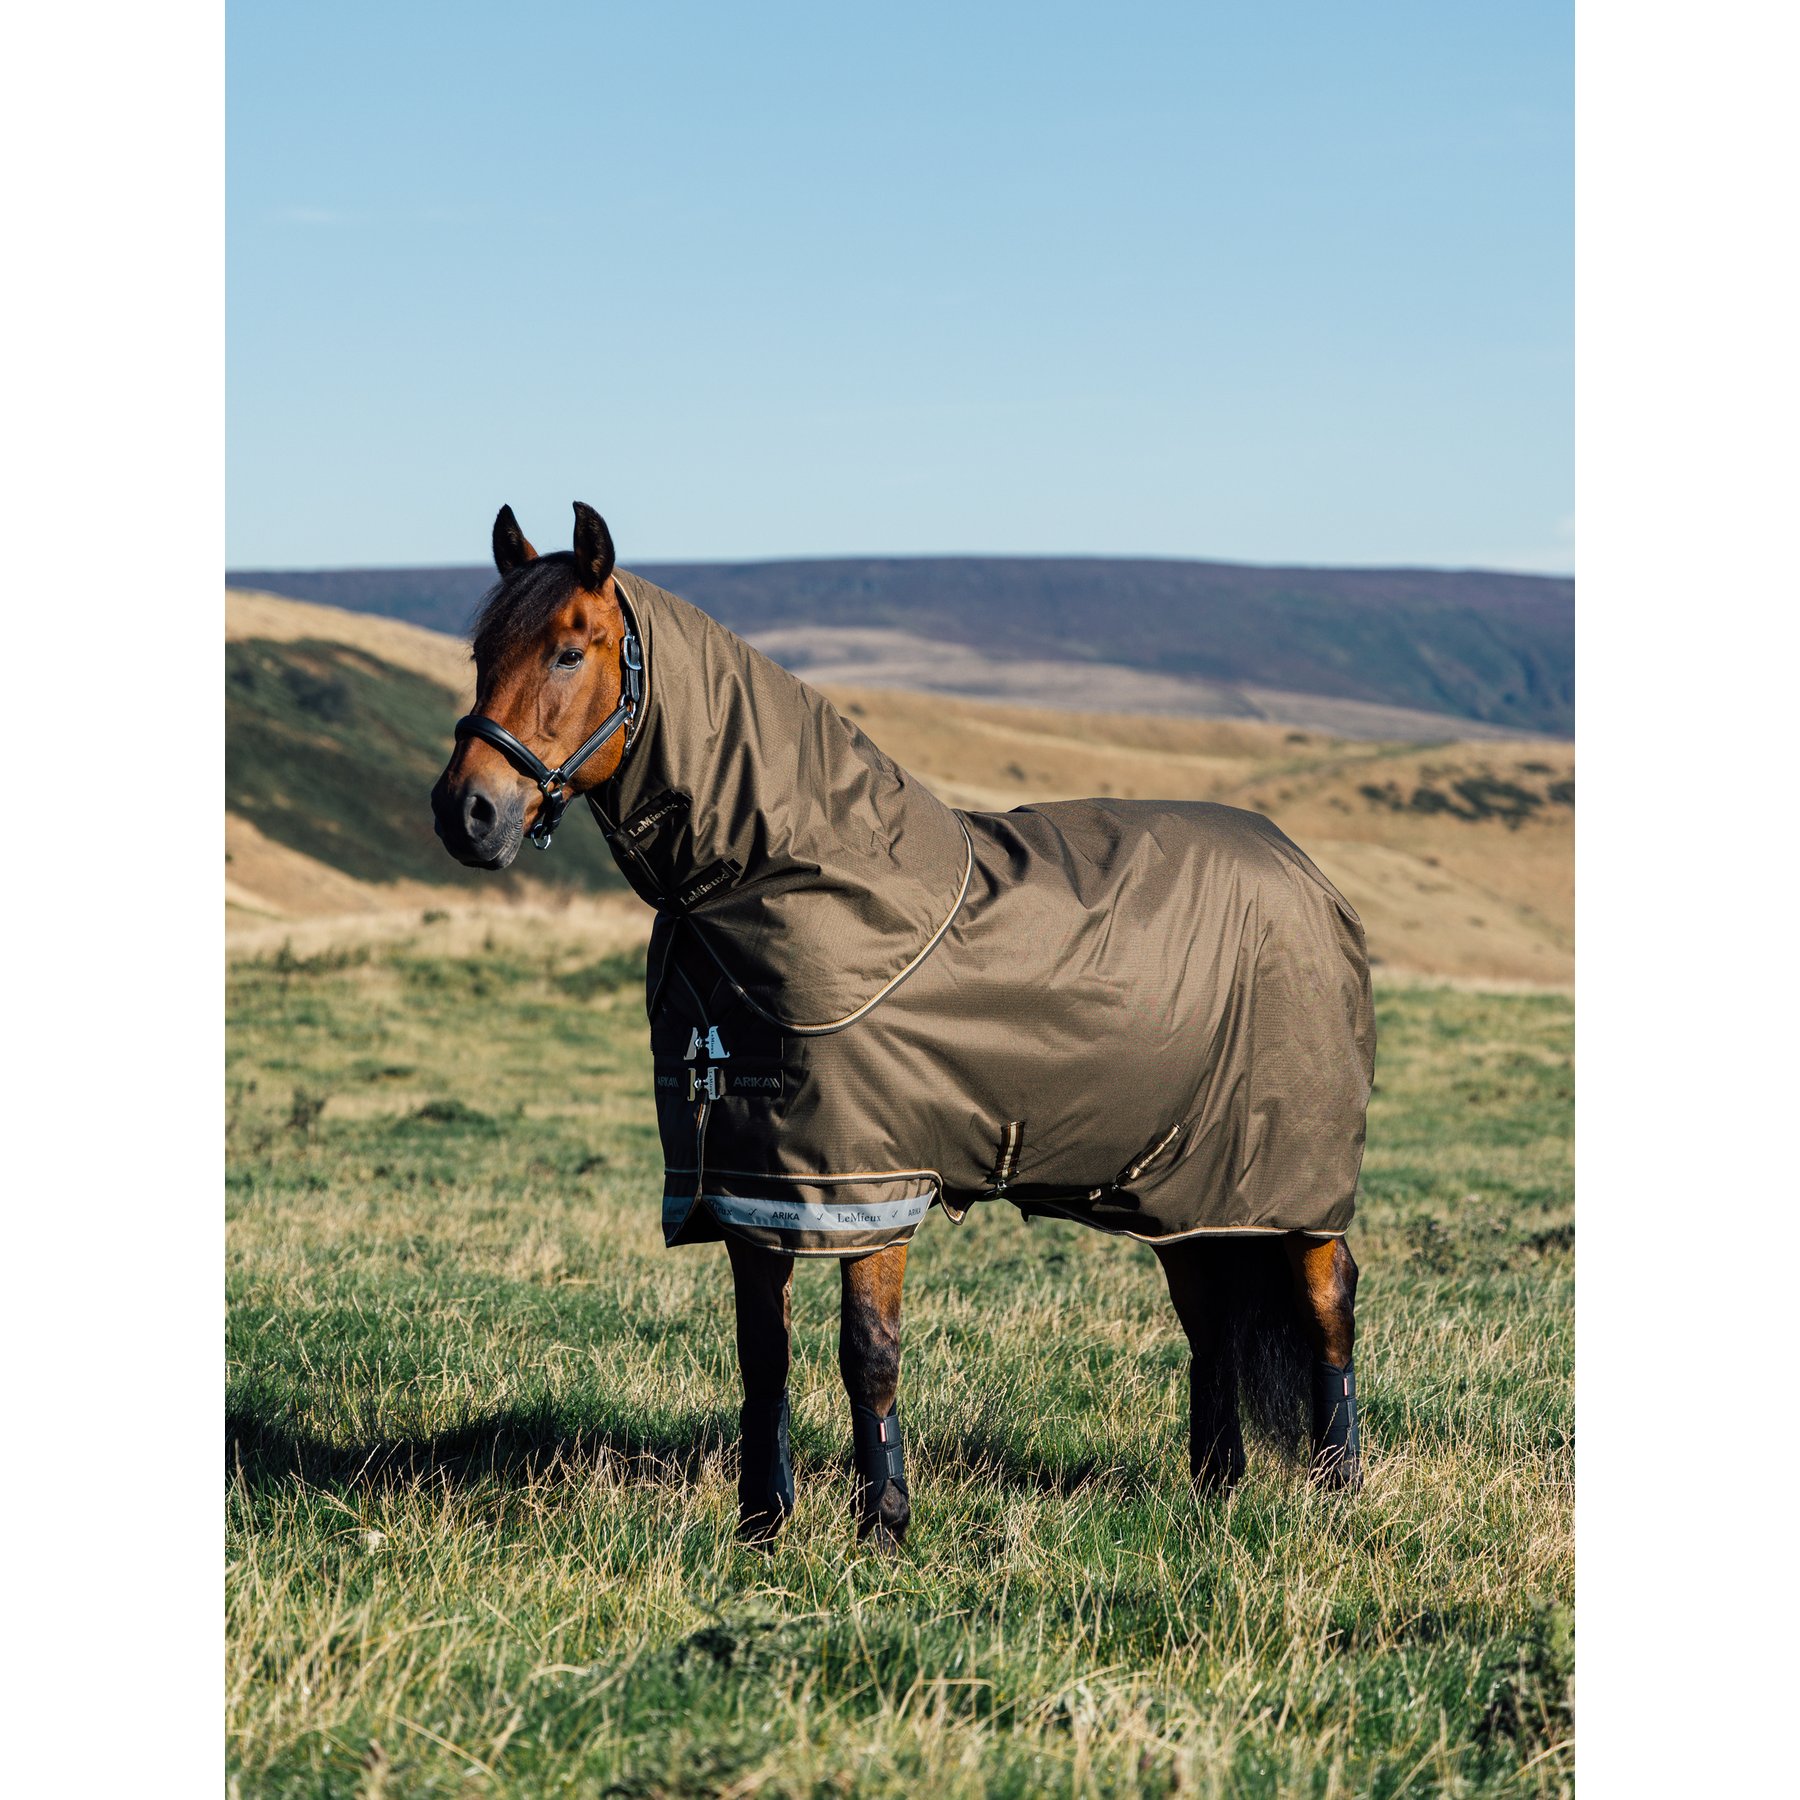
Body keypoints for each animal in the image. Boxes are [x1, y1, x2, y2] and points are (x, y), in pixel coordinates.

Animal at [431, 502, 1372, 1545]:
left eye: (568, 650)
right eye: (481, 651)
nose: (467, 813)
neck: (795, 874)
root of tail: (1310, 877)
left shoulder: (868, 1185)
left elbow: (867, 1354)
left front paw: (882, 1521)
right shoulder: (753, 1188)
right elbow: (763, 1358)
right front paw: (762, 1524)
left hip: (1293, 1176)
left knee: (1328, 1302)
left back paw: (1339, 1483)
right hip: (1190, 1182)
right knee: (1209, 1317)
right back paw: (1216, 1484)